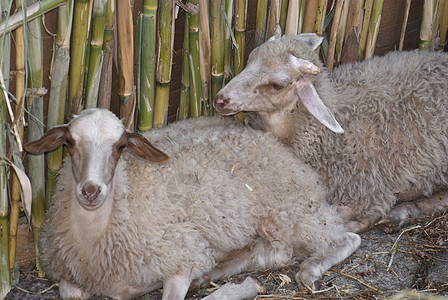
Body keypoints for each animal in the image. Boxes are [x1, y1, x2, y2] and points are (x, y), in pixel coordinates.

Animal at [23, 108, 360, 300]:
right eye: (69, 142)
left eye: (120, 146)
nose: (91, 191)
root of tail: (271, 140)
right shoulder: (68, 276)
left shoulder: (183, 255)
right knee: (269, 254)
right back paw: (215, 274)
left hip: (291, 211)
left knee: (345, 238)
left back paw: (309, 271)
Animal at [213, 31, 448, 232]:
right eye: (250, 58)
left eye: (277, 85)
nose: (220, 100)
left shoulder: (367, 190)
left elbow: (350, 215)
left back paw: (402, 212)